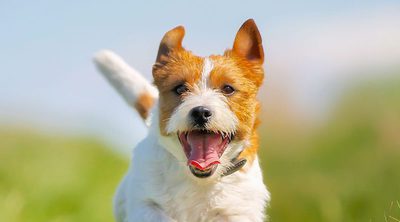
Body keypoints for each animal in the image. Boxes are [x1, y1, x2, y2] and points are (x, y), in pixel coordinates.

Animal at [94, 19, 268, 222]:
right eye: (180, 88)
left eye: (228, 88)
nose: (200, 112)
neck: (198, 179)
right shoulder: (145, 204)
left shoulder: (237, 212)